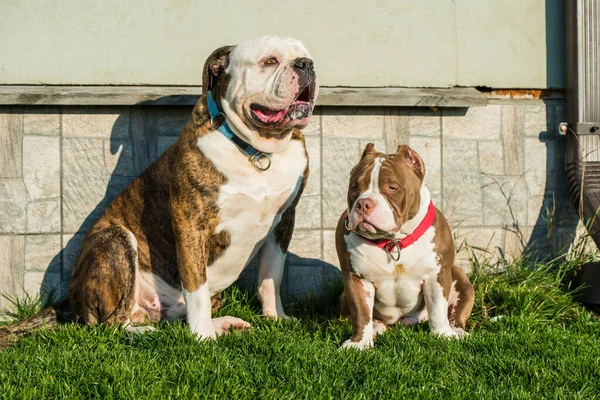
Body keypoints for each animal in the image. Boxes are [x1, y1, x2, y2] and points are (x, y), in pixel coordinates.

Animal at [68, 36, 318, 340]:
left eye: (306, 56)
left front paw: (276, 317)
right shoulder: (190, 223)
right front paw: (202, 337)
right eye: (269, 61)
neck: (257, 151)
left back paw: (223, 323)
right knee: (112, 323)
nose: (306, 64)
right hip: (115, 240)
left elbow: (272, 276)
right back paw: (152, 332)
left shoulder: (283, 221)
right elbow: (196, 285)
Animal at [338, 145, 474, 350]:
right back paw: (377, 327)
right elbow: (360, 312)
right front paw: (359, 343)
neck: (392, 242)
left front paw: (443, 335)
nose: (363, 203)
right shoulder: (356, 278)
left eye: (392, 188)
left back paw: (457, 331)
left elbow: (437, 309)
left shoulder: (436, 274)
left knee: (454, 314)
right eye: (354, 187)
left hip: (460, 280)